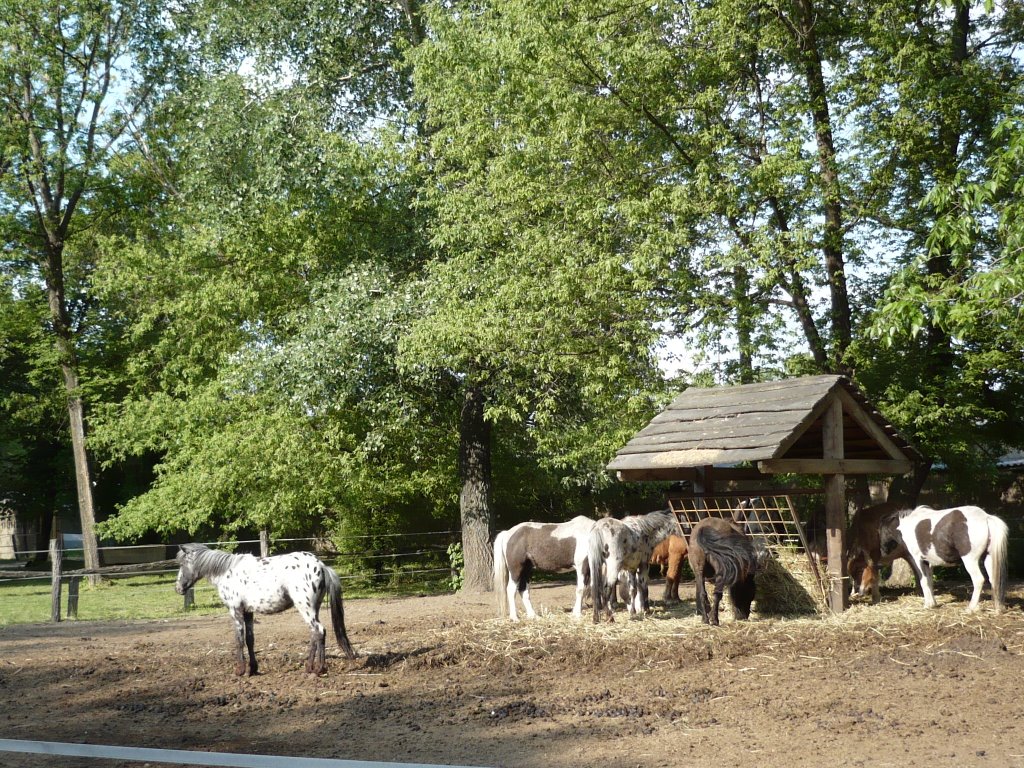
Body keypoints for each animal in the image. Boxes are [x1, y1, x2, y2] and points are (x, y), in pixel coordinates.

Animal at [173, 544, 356, 675]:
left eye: (183, 564)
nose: (178, 588)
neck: (226, 571)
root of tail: (322, 566)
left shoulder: (235, 611)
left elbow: (239, 640)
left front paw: (240, 671)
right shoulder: (248, 612)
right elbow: (249, 639)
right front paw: (253, 669)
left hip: (305, 608)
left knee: (319, 631)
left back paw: (318, 669)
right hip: (313, 609)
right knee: (315, 635)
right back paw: (311, 667)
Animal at [876, 507, 1011, 618]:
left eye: (880, 531)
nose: (882, 552)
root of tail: (986, 517)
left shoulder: (918, 560)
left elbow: (923, 581)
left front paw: (928, 605)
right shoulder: (928, 562)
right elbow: (930, 581)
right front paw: (933, 603)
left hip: (970, 560)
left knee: (978, 580)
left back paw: (971, 608)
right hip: (988, 558)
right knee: (994, 579)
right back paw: (998, 608)